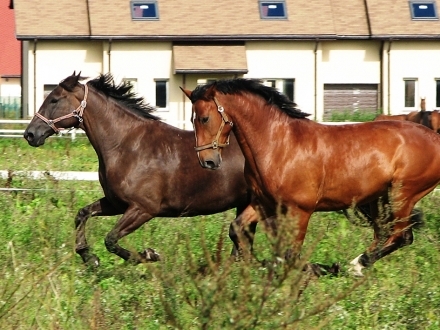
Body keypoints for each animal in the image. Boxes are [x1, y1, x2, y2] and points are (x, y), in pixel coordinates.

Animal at [23, 73, 251, 268]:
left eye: (54, 100)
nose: (30, 134)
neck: (127, 146)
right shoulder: (116, 203)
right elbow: (82, 214)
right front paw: (89, 257)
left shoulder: (143, 209)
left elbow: (111, 239)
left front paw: (150, 254)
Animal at [183, 79, 440, 276]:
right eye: (192, 119)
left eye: (204, 118)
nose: (208, 161)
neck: (279, 144)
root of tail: (434, 138)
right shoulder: (264, 203)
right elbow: (237, 229)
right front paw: (252, 266)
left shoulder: (301, 210)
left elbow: (291, 251)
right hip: (379, 198)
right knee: (386, 233)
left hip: (402, 193)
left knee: (400, 235)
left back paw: (355, 265)